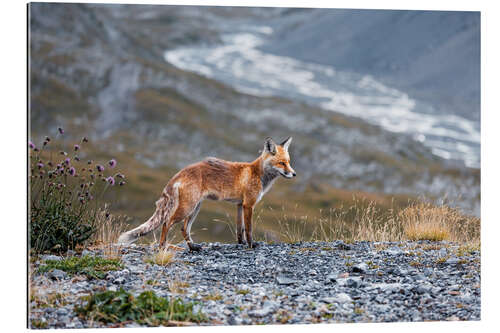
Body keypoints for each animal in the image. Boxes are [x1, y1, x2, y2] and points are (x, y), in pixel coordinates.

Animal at [118, 137, 294, 249]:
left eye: (289, 162)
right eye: (281, 163)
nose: (294, 174)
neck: (257, 173)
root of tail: (181, 172)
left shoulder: (239, 205)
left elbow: (240, 230)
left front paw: (241, 244)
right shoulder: (248, 205)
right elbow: (249, 230)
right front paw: (251, 245)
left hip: (195, 208)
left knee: (184, 229)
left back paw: (193, 248)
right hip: (188, 208)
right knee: (167, 223)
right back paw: (163, 247)